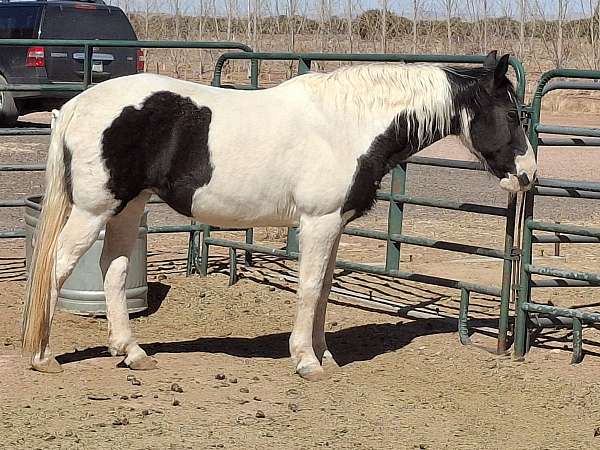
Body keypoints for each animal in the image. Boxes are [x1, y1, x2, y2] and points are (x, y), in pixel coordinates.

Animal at [22, 50, 536, 380]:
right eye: (512, 115)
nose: (528, 175)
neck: (348, 125)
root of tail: (75, 105)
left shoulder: (334, 225)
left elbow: (324, 289)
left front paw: (326, 356)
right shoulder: (318, 222)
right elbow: (308, 288)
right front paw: (306, 362)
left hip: (127, 207)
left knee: (113, 269)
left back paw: (132, 352)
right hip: (93, 209)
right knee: (57, 266)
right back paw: (44, 356)